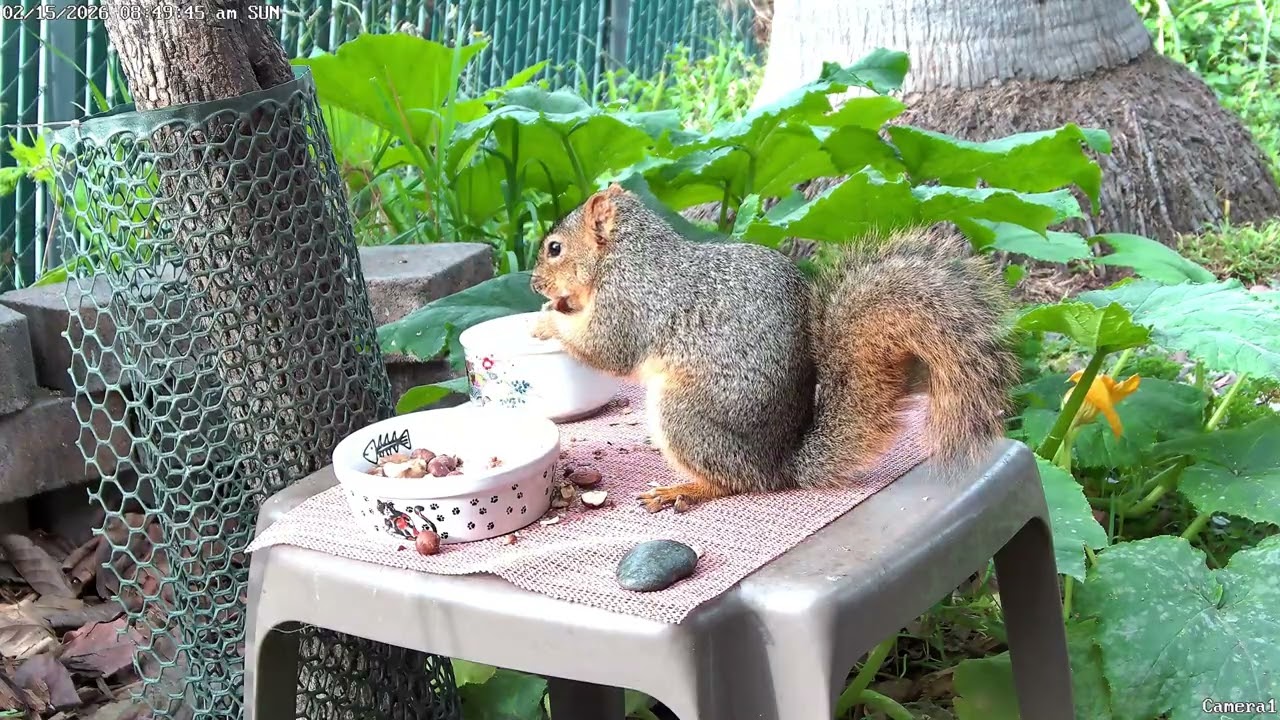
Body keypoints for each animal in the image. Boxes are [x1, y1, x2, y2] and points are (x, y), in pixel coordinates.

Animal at [530, 184, 1017, 513]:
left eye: (555, 248)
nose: (535, 284)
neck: (626, 255)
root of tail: (779, 465)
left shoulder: (630, 301)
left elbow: (606, 347)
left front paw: (547, 320)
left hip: (683, 416)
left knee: (735, 484)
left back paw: (683, 489)